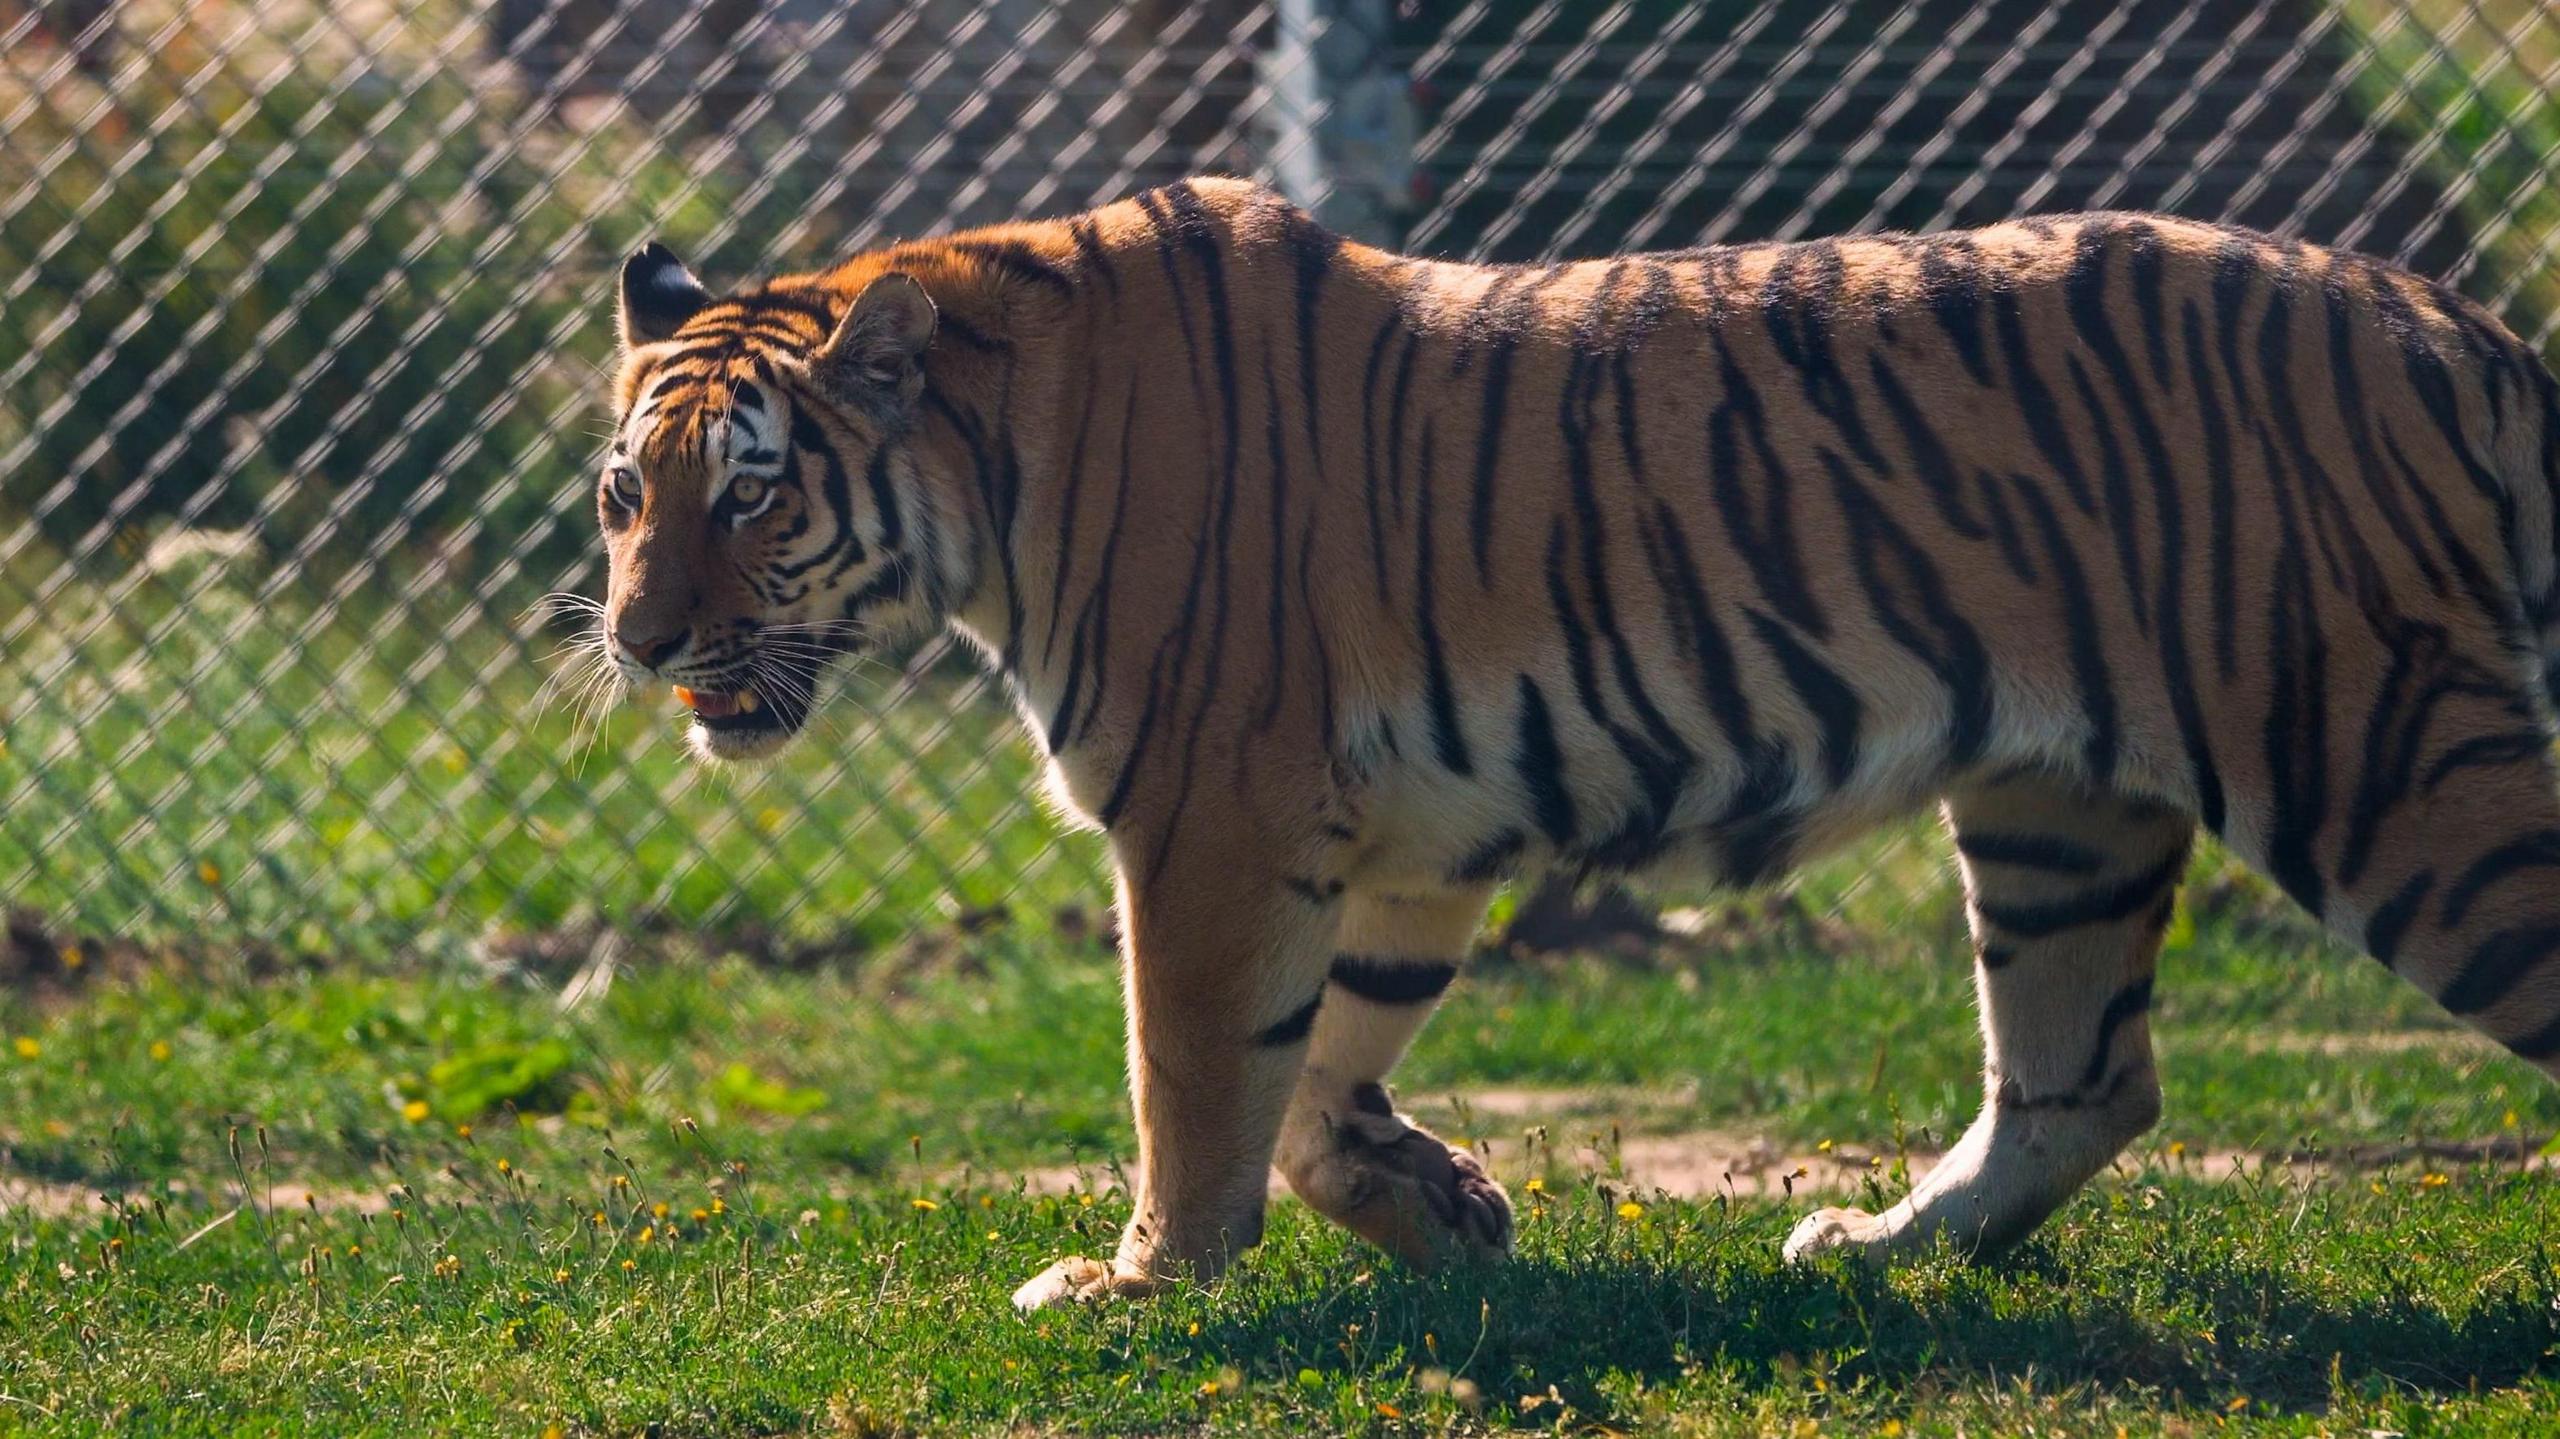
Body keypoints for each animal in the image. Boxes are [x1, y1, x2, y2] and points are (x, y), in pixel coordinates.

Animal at [590, 177, 2560, 1310]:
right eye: (626, 496)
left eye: (752, 497)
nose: (638, 638)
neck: (991, 474)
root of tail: (2455, 318)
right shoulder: (1398, 836)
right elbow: (1309, 1074)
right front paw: (1445, 1205)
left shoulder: (1213, 816)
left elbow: (1193, 1073)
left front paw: (1140, 1281)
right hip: (2056, 810)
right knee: (2084, 1077)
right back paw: (1880, 1247)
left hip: (2381, 754)